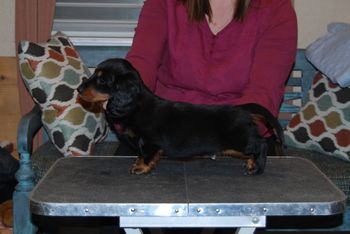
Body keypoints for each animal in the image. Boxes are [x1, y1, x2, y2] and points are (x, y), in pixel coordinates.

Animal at [78, 58, 284, 176]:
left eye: (102, 79)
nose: (79, 89)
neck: (136, 105)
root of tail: (243, 110)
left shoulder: (149, 141)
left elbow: (146, 154)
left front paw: (141, 168)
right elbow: (142, 154)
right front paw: (139, 163)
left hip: (240, 140)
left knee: (262, 145)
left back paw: (257, 168)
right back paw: (250, 163)